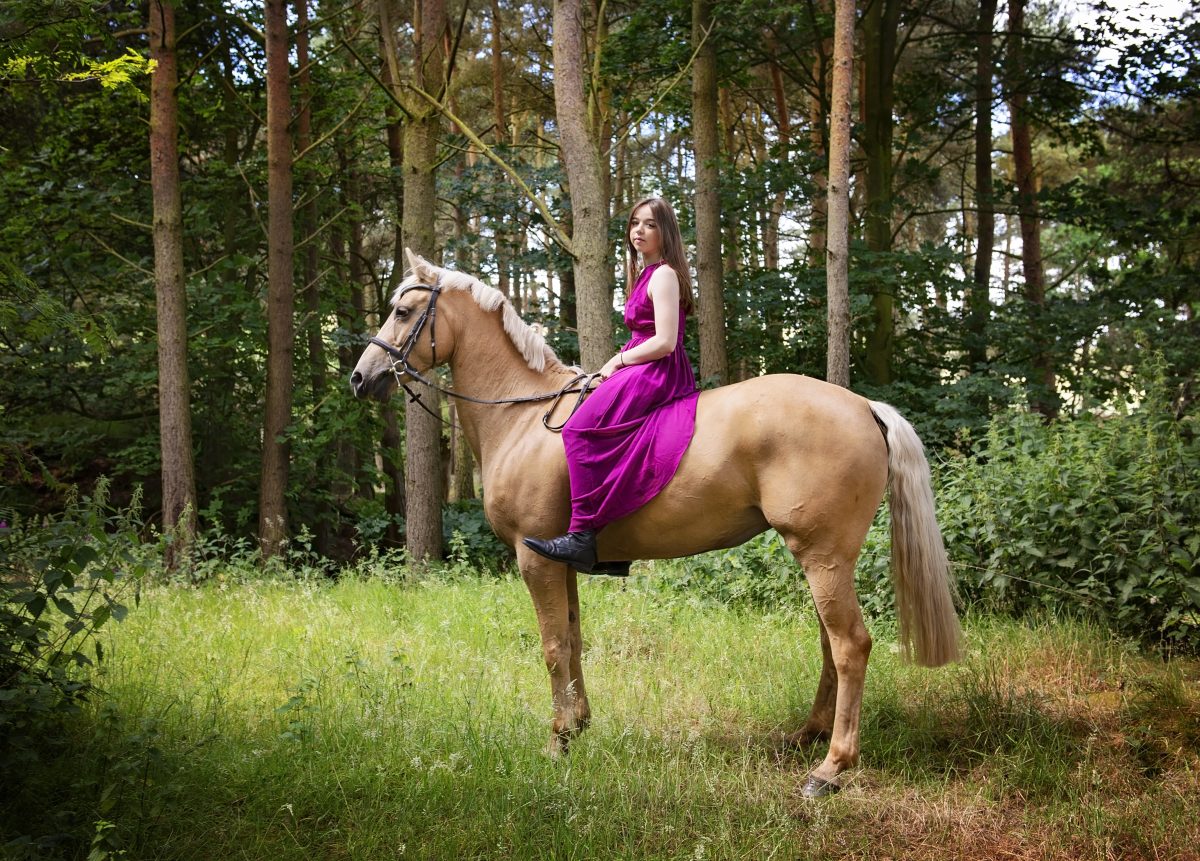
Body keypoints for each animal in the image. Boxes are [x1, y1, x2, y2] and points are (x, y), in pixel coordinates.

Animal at [351, 250, 961, 797]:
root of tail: (862, 406)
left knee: (850, 645)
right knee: (829, 644)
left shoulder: (533, 560)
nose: (361, 378)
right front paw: (579, 728)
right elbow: (573, 640)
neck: (523, 418)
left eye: (403, 312)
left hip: (823, 555)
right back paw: (807, 736)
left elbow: (551, 646)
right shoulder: (558, 558)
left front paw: (557, 741)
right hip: (821, 559)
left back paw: (831, 768)